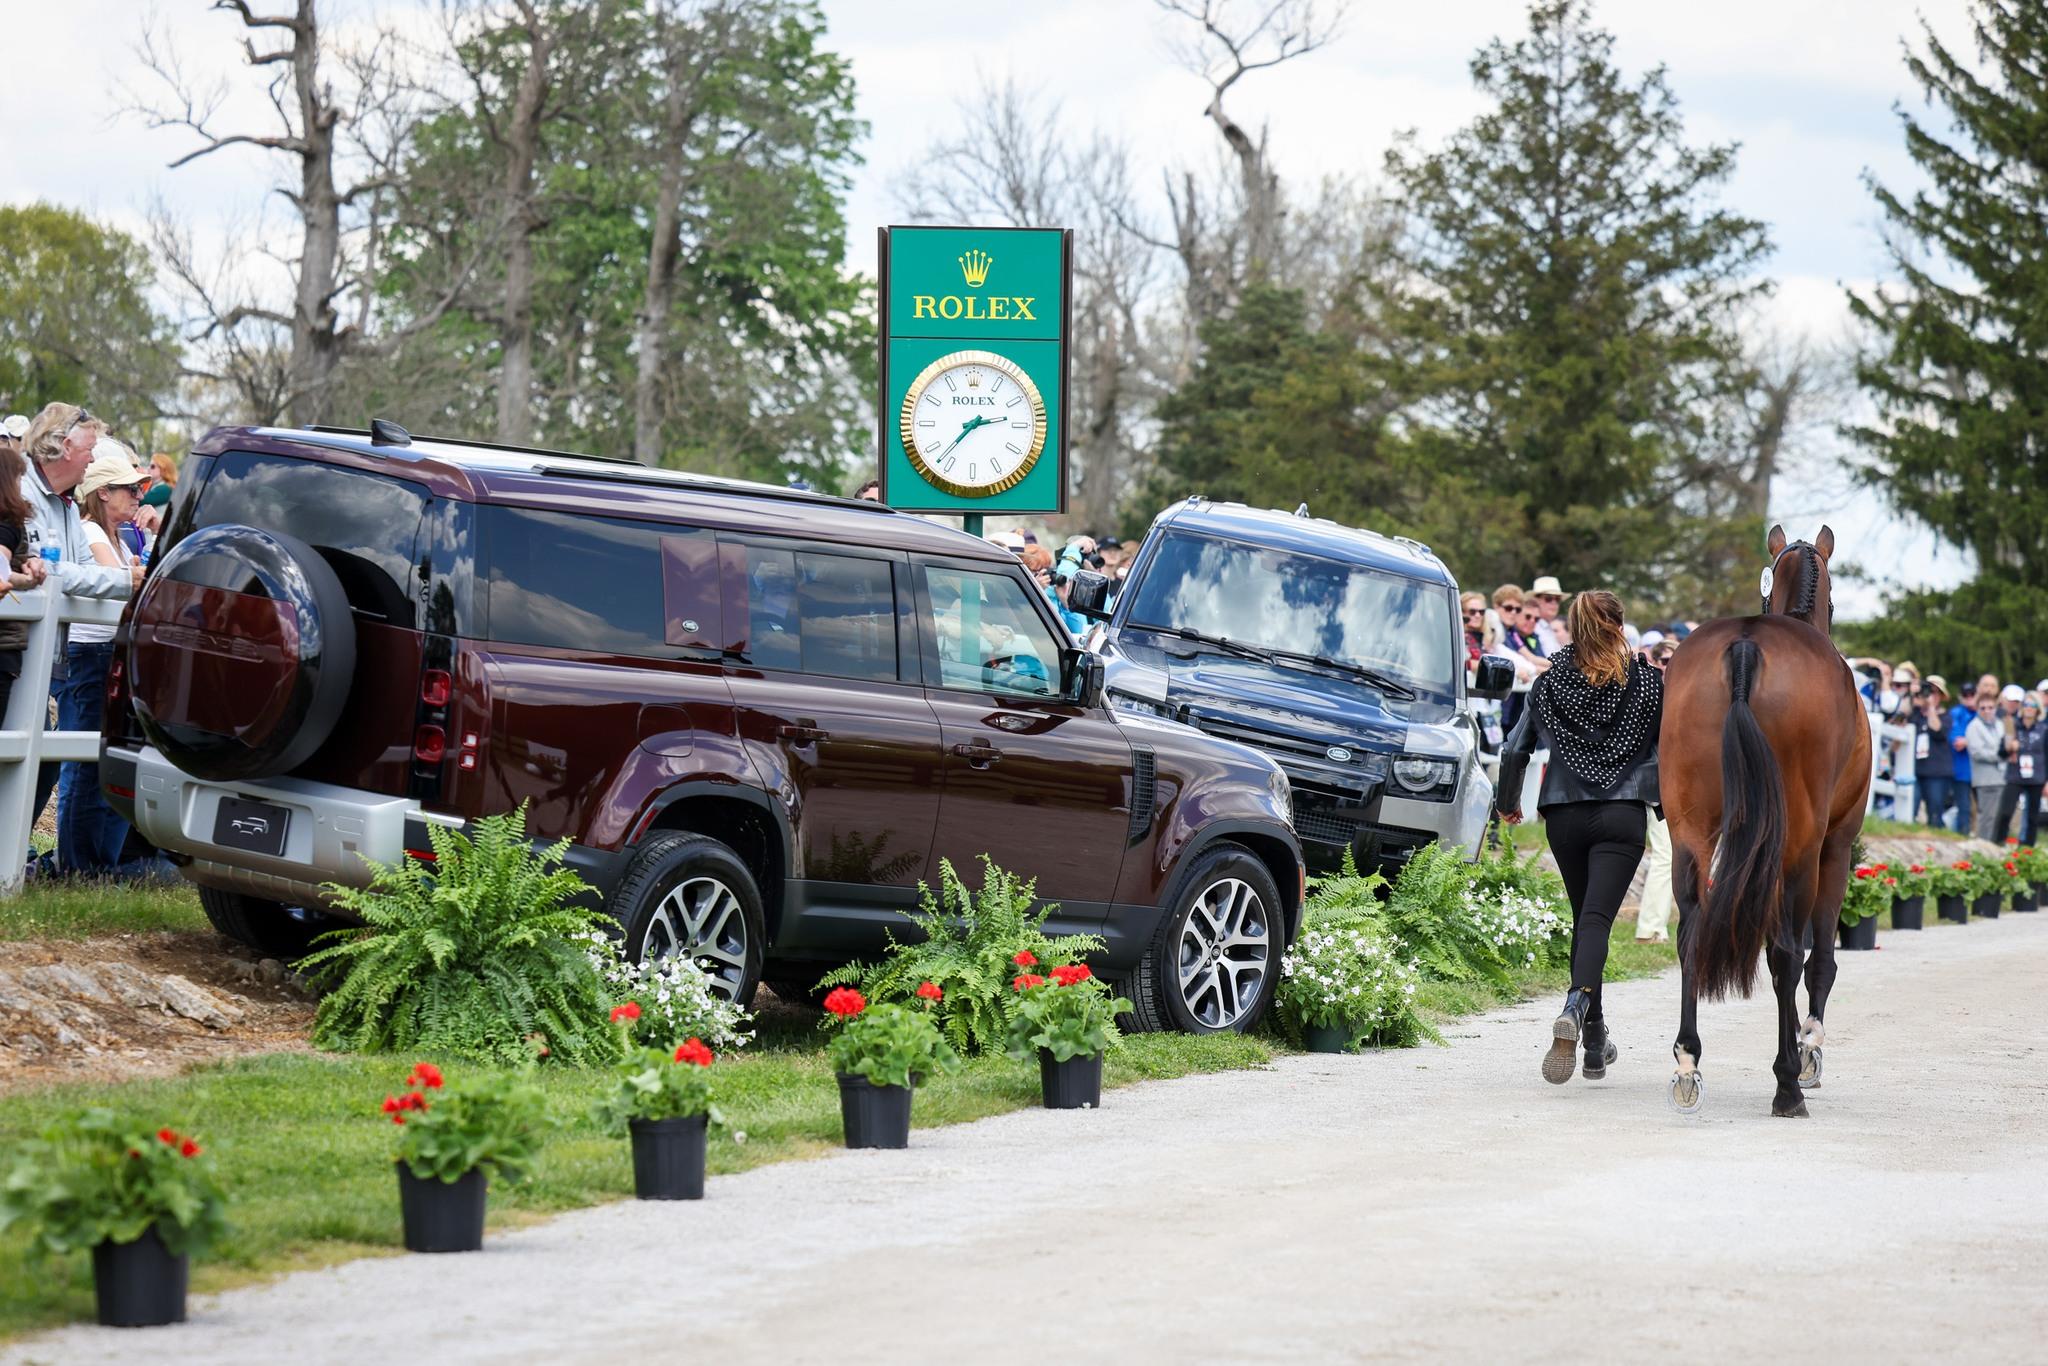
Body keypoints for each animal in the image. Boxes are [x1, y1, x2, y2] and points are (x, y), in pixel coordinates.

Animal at [1662, 528, 1875, 1114]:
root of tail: (1745, 645)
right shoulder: (1835, 845)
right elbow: (1816, 955)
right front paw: (1807, 1052)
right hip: (1801, 842)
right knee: (1786, 953)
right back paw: (1786, 1085)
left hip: (1689, 831)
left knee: (1691, 933)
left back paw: (1687, 1063)